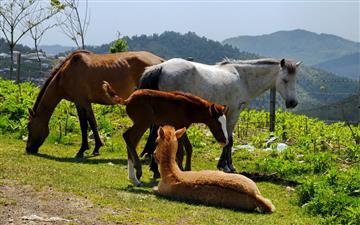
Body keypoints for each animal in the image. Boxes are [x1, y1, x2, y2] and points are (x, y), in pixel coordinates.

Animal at [26, 50, 164, 157]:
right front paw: (97, 147)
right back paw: (147, 152)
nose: (28, 149)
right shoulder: (85, 103)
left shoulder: (80, 101)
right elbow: (92, 123)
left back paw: (146, 152)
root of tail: (161, 62)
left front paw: (82, 150)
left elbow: (84, 125)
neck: (66, 73)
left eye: (28, 126)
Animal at [139, 57, 302, 175]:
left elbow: (228, 139)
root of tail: (161, 67)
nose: (293, 103)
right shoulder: (234, 113)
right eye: (285, 80)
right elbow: (229, 140)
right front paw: (227, 166)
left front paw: (224, 164)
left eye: (295, 80)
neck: (243, 79)